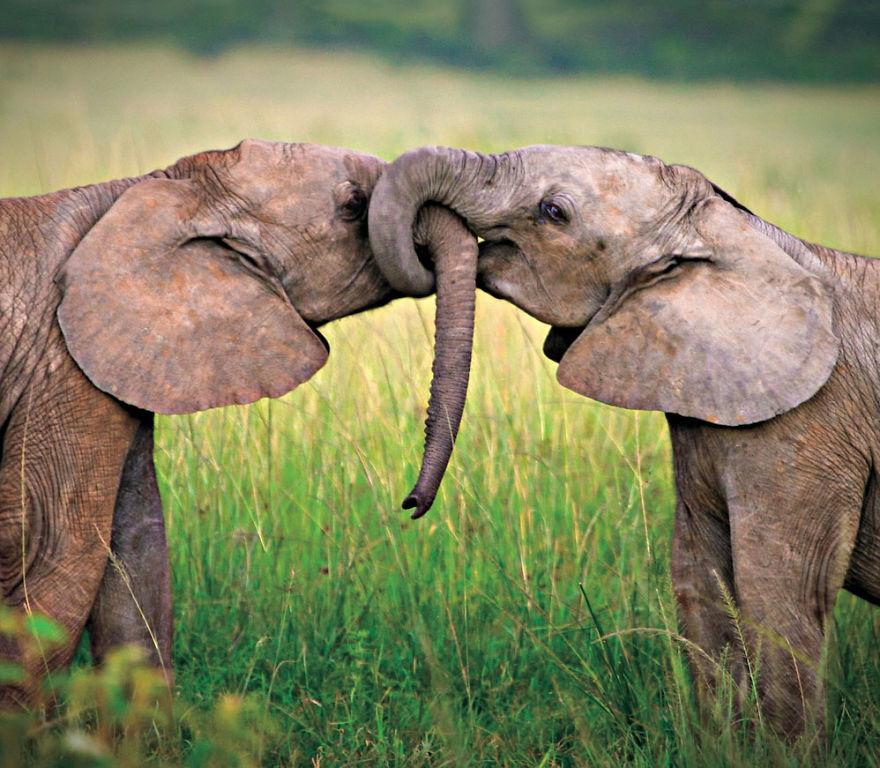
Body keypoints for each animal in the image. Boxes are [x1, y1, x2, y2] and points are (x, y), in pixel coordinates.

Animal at [0, 138, 473, 708]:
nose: (409, 504)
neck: (154, 187)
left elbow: (137, 555)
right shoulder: (60, 365)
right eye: (354, 205)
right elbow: (51, 555)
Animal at [368, 143, 879, 738]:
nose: (410, 504)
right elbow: (700, 587)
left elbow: (779, 601)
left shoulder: (810, 426)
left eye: (553, 212)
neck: (735, 232)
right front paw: (722, 746)